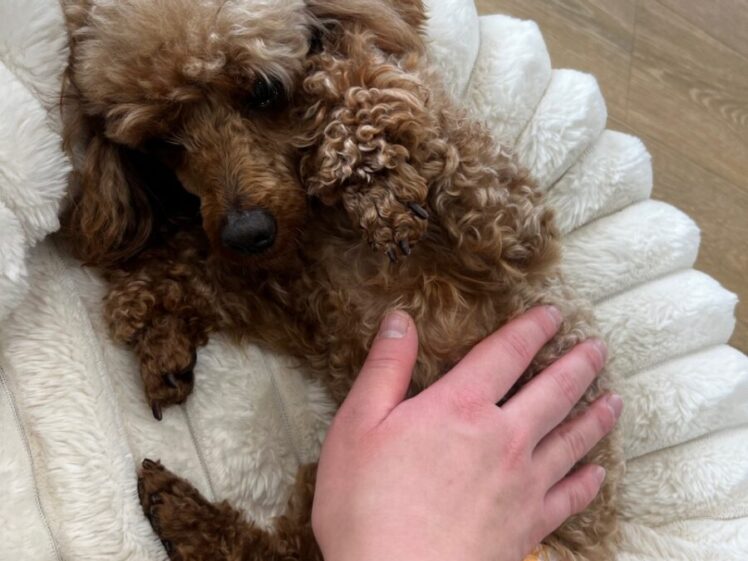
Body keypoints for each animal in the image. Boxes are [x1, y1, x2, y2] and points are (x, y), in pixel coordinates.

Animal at [60, 1, 621, 560]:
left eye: (264, 91)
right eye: (160, 139)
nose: (247, 233)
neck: (321, 227)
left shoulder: (511, 225)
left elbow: (395, 89)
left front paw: (364, 155)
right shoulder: (284, 293)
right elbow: (190, 268)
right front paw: (158, 332)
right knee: (275, 551)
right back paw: (177, 510)